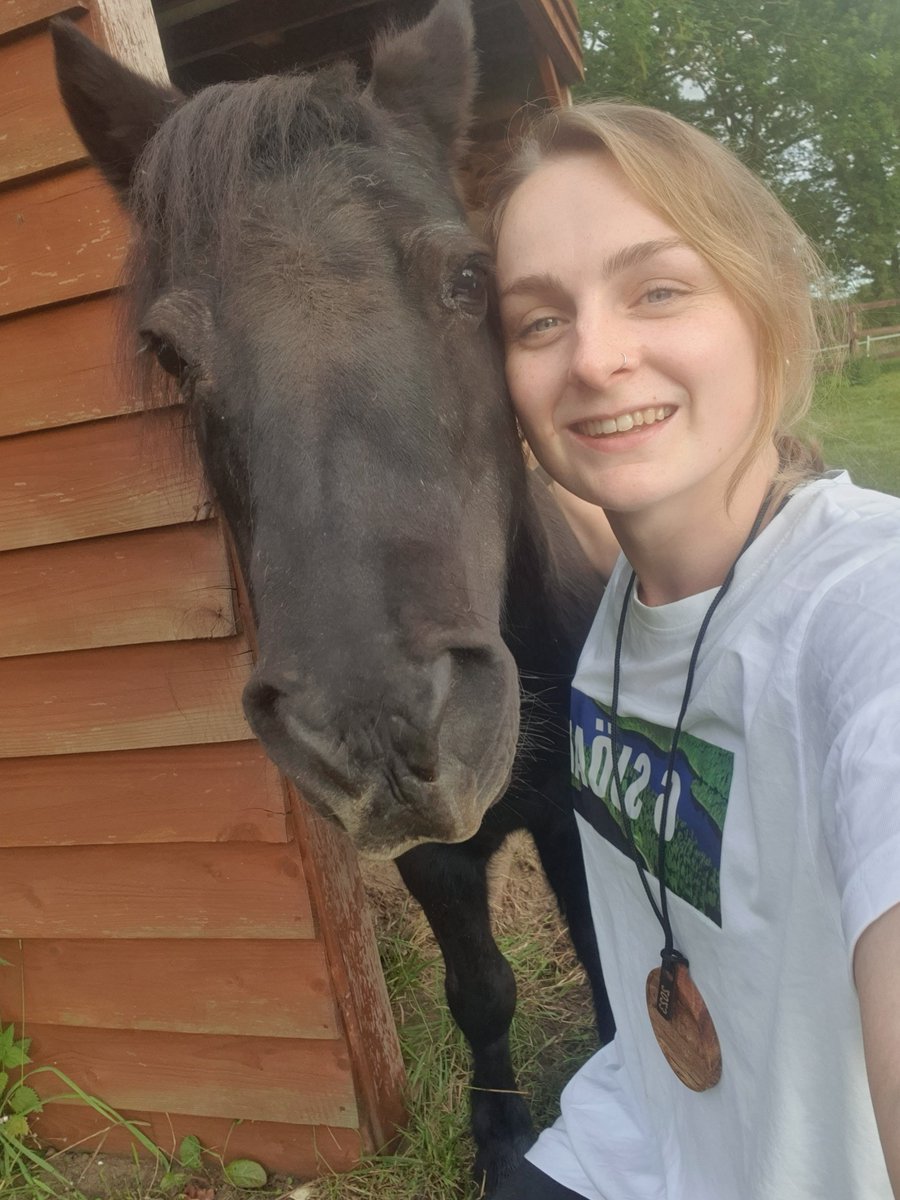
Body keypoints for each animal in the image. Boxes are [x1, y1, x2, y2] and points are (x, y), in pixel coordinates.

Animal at [52, 2, 614, 1191]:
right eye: (169, 350)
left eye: (471, 279)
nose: (377, 729)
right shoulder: (437, 857)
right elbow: (481, 989)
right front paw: (502, 1139)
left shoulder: (569, 819)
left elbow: (603, 961)